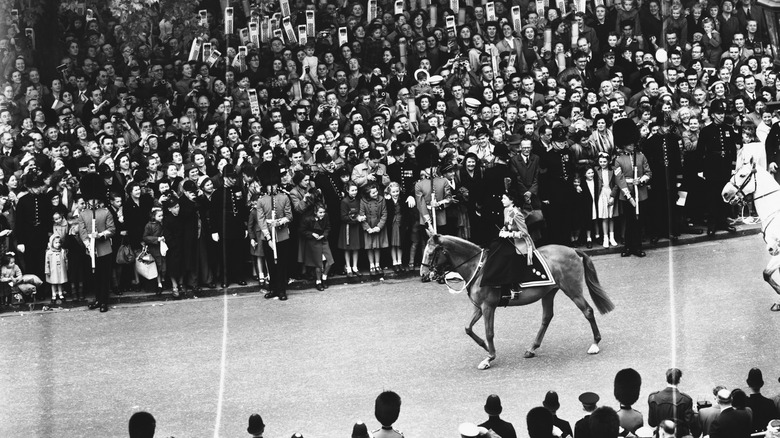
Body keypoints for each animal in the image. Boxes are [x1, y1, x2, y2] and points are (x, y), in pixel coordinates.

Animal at [420, 234, 616, 368]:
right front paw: (484, 347)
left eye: (430, 253)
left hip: (572, 290)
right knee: (547, 318)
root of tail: (572, 250)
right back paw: (532, 348)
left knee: (588, 311)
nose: (424, 274)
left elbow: (489, 332)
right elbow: (468, 328)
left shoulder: (488, 307)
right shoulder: (479, 307)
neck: (478, 268)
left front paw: (490, 356)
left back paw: (595, 343)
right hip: (549, 293)